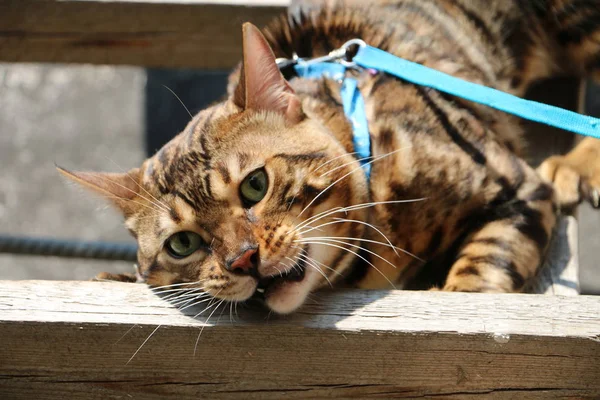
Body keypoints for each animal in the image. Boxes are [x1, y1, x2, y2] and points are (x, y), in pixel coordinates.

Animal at [59, 0, 600, 314]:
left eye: (255, 184)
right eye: (182, 244)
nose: (242, 259)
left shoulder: (519, 186)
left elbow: (483, 269)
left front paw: (456, 294)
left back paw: (578, 163)